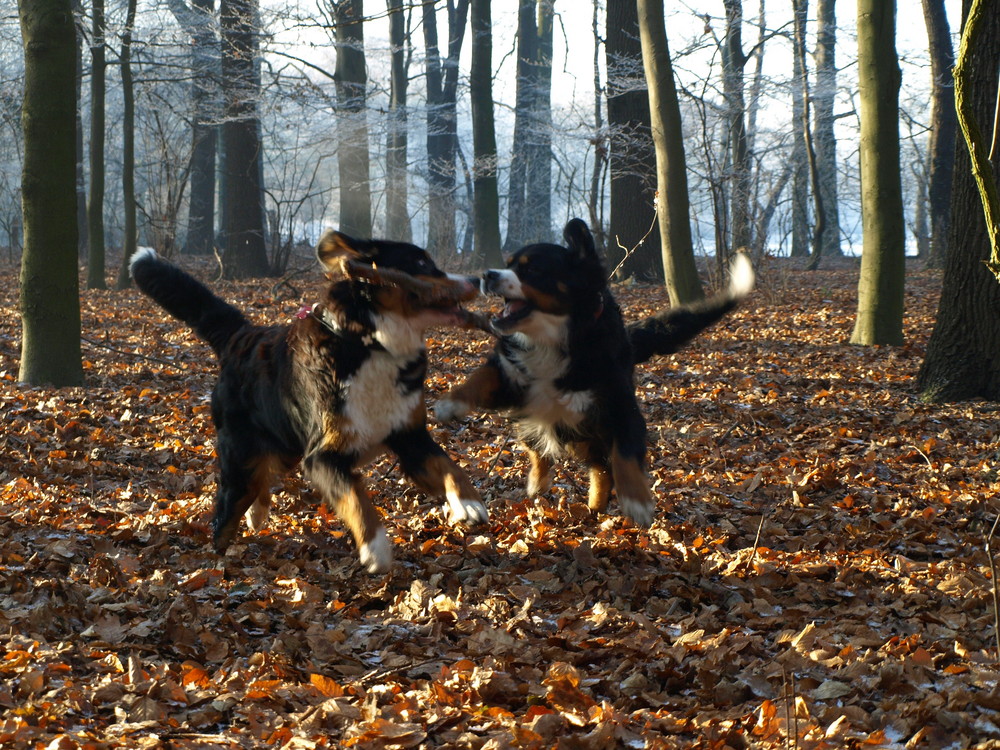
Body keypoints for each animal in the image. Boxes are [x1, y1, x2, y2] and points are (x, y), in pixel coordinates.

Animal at [131, 235, 490, 576]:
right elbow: (356, 497)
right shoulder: (323, 456)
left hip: (287, 445)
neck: (369, 344)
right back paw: (221, 554)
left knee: (264, 476)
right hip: (242, 462)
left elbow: (449, 466)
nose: (476, 278)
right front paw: (375, 547)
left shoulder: (408, 436)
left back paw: (258, 513)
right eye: (421, 263)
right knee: (227, 513)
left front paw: (468, 503)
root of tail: (242, 335)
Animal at [434, 220, 752, 528]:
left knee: (601, 469)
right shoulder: (513, 372)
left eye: (532, 269)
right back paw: (542, 483)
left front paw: (637, 500)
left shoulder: (617, 403)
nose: (486, 274)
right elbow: (482, 378)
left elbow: (625, 453)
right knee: (542, 450)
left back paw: (594, 505)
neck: (556, 338)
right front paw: (450, 403)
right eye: (508, 263)